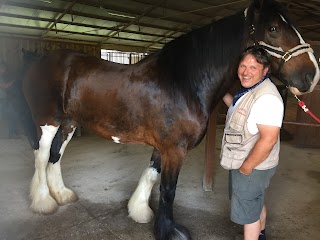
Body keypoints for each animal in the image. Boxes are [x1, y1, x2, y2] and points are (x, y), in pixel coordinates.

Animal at [21, 0, 318, 240]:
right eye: (273, 29)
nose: (310, 76)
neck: (182, 81)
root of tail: (40, 61)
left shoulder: (164, 147)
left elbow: (152, 175)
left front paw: (139, 211)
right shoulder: (175, 149)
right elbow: (167, 190)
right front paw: (168, 231)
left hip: (69, 122)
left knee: (56, 155)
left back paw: (62, 195)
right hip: (48, 121)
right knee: (42, 156)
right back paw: (44, 202)